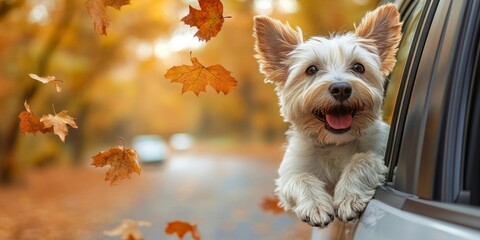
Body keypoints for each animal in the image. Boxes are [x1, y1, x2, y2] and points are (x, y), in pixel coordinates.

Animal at [253, 3, 404, 228]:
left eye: (358, 67)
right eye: (311, 69)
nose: (341, 88)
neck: (335, 143)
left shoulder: (379, 152)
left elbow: (363, 159)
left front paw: (349, 197)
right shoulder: (289, 175)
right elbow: (300, 178)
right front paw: (315, 206)